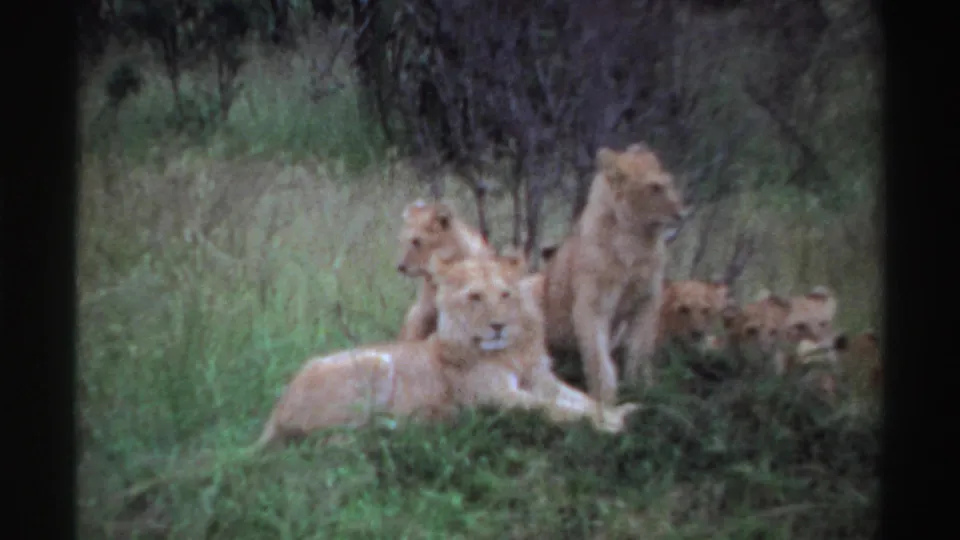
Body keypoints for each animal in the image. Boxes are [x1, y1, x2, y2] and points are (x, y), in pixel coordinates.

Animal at [255, 250, 640, 450]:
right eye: (475, 297)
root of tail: (277, 407)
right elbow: (554, 409)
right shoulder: (495, 398)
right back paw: (415, 423)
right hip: (375, 363)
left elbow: (582, 398)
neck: (512, 351)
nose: (498, 326)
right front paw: (609, 424)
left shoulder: (543, 380)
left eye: (505, 295)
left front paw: (620, 411)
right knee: (333, 439)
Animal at [540, 143, 688, 405]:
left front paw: (643, 389)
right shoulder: (593, 305)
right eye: (655, 187)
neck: (636, 241)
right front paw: (605, 401)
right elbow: (599, 359)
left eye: (669, 183)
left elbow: (640, 351)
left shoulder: (648, 300)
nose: (682, 213)